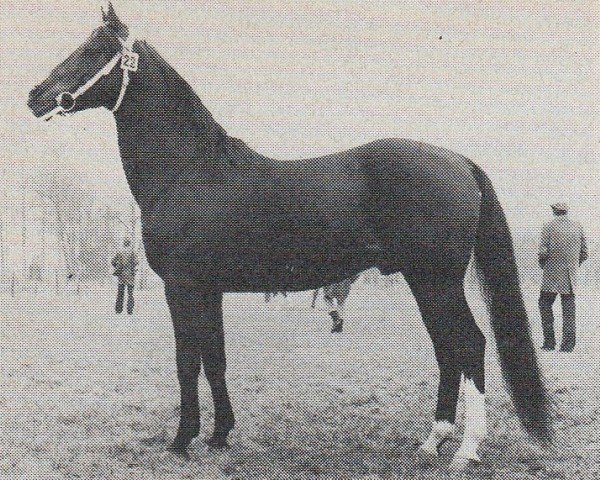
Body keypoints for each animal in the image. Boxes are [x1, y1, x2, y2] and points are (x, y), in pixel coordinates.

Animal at [30, 4, 552, 472]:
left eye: (94, 50)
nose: (36, 95)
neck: (190, 172)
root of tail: (458, 161)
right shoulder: (209, 290)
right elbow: (215, 359)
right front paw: (219, 436)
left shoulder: (182, 287)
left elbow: (187, 362)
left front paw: (181, 441)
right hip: (426, 282)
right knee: (449, 350)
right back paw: (432, 441)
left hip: (436, 280)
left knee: (469, 346)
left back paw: (465, 449)